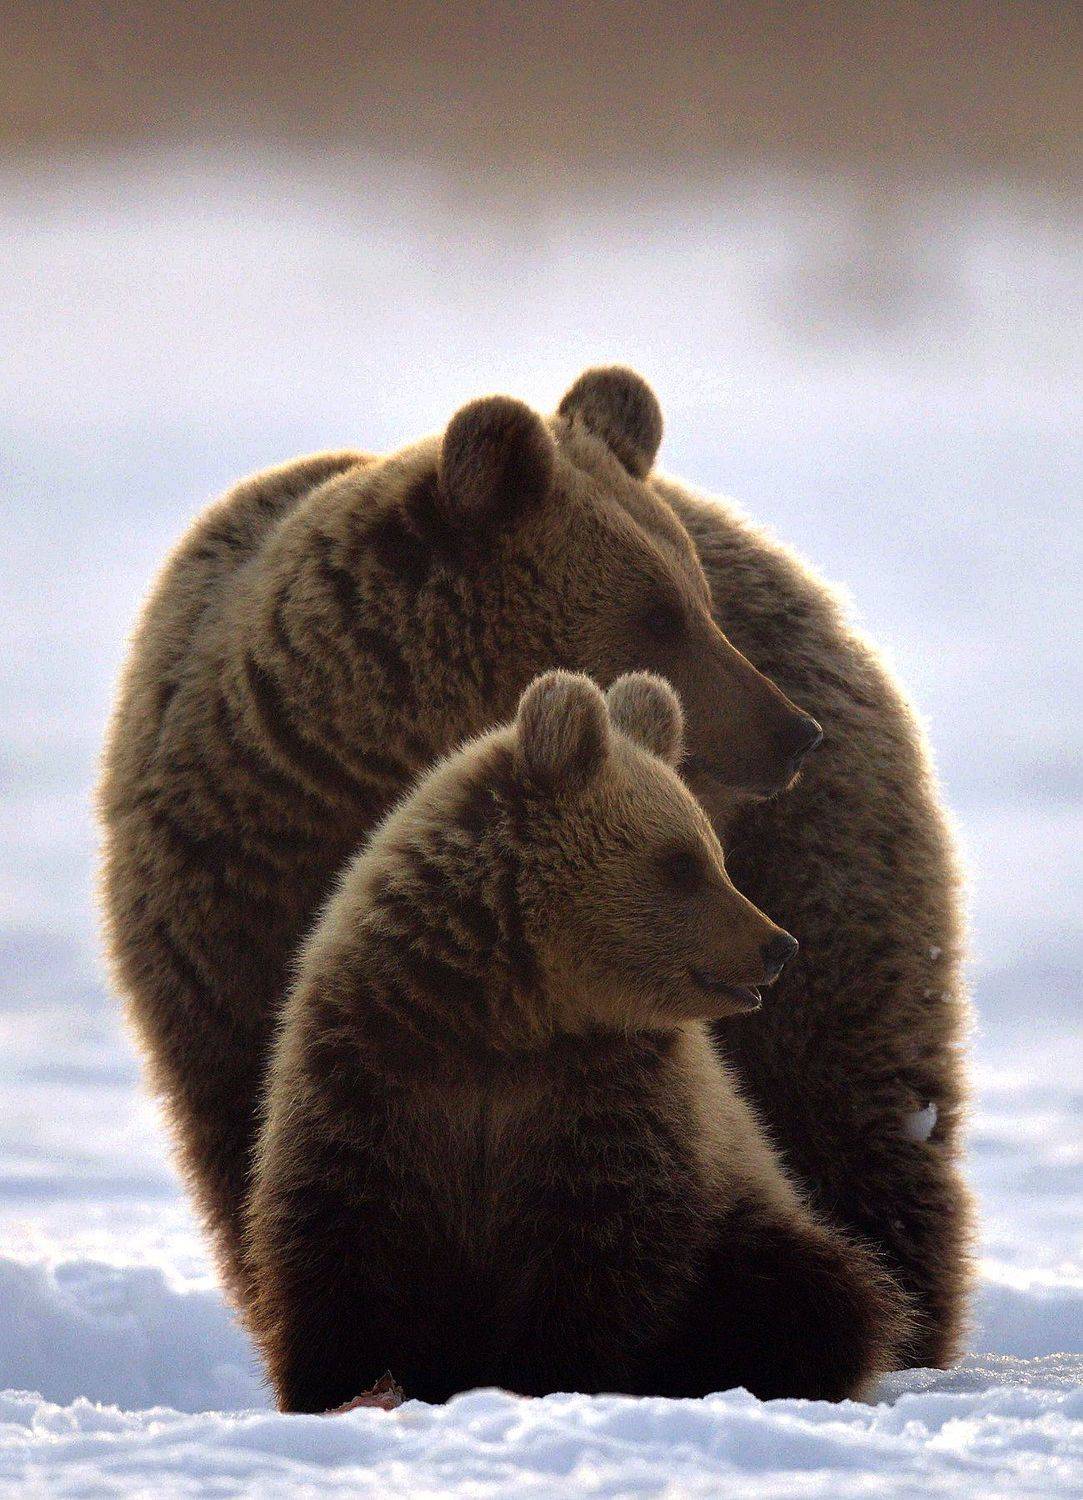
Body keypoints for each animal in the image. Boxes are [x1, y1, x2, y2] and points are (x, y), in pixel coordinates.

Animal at [244, 669, 913, 1411]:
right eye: (681, 863)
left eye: (713, 853)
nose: (777, 945)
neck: (510, 1021)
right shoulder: (379, 1066)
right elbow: (342, 1233)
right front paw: (346, 1387)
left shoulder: (606, 1097)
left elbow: (599, 1251)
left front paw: (553, 1381)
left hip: (746, 1231)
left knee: (817, 1290)